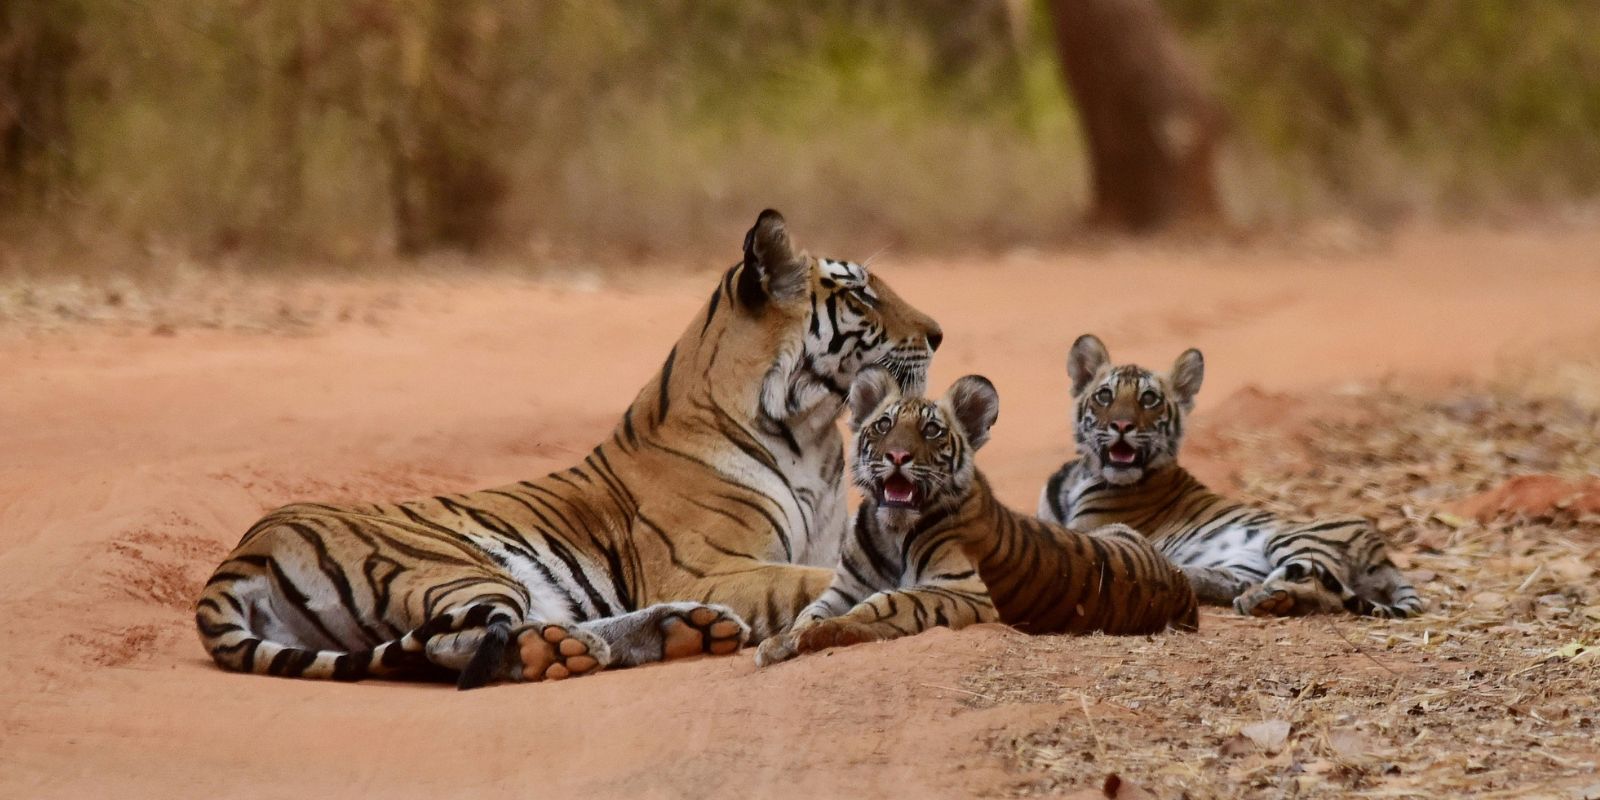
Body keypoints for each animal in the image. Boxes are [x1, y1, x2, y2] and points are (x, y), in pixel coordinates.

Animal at [194, 209, 944, 688]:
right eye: (861, 295)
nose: (938, 334)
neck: (813, 432)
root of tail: (241, 553)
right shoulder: (711, 566)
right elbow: (812, 583)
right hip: (454, 567)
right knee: (453, 645)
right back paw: (572, 650)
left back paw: (683, 632)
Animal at [756, 368, 1198, 666]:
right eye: (884, 424)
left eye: (931, 431)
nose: (897, 456)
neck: (891, 530)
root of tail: (1178, 580)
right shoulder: (844, 587)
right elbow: (810, 611)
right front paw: (781, 642)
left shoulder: (964, 589)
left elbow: (889, 601)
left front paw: (825, 633)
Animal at [1038, 333, 1423, 618]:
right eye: (1105, 396)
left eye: (1148, 399)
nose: (1121, 425)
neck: (1083, 474)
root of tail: (1382, 552)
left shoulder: (1089, 529)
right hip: (1244, 564)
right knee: (1235, 582)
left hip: (1293, 539)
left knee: (1314, 586)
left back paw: (1261, 598)